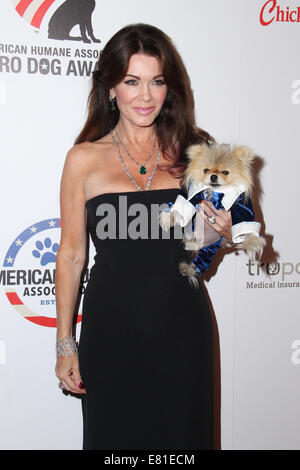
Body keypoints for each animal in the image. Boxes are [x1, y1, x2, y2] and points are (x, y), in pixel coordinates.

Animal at [159, 141, 264, 286]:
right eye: (206, 170)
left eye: (225, 172)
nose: (213, 176)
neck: (215, 192)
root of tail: (202, 244)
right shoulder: (193, 196)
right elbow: (181, 206)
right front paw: (167, 218)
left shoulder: (241, 206)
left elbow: (246, 225)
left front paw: (252, 242)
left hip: (210, 249)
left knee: (201, 261)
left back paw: (188, 269)